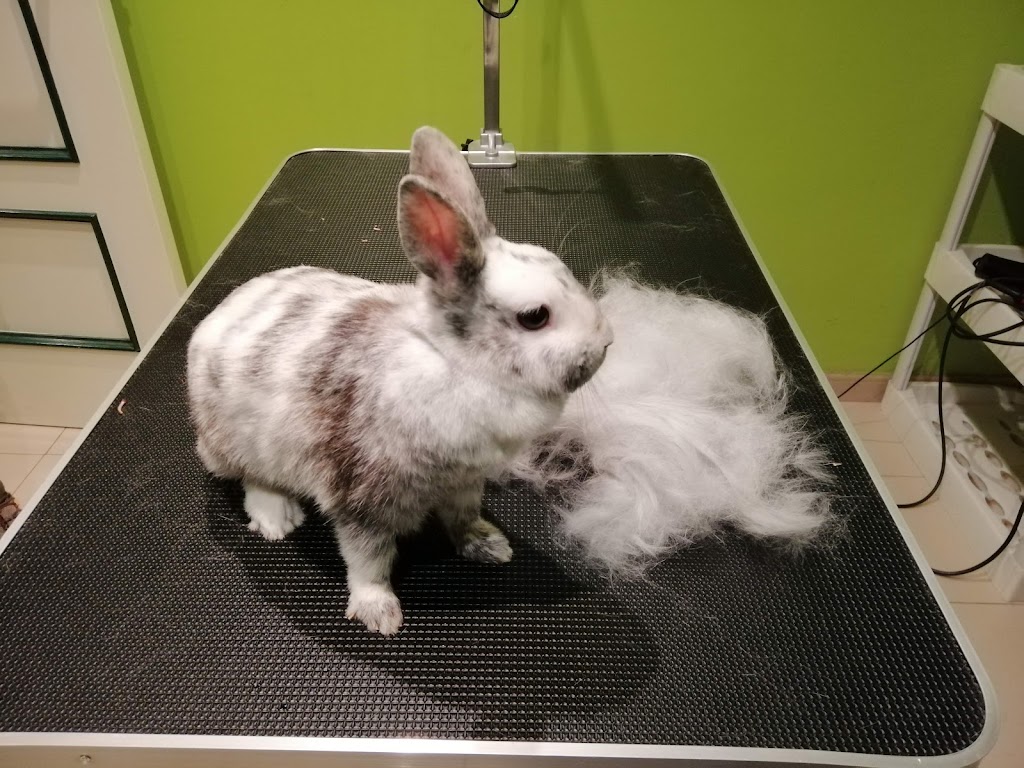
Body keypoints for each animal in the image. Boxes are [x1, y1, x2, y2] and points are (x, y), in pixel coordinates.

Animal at [187, 127, 613, 635]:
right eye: (534, 317)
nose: (606, 342)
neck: (456, 364)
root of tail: (213, 319)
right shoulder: (361, 499)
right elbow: (367, 560)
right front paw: (380, 614)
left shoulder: (464, 481)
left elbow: (462, 518)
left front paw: (490, 545)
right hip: (237, 440)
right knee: (250, 478)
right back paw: (277, 518)